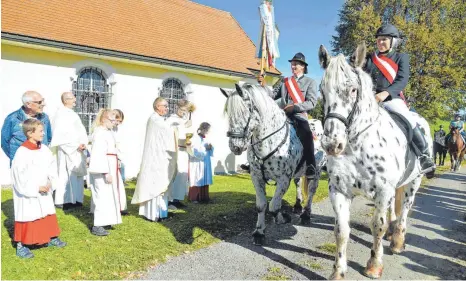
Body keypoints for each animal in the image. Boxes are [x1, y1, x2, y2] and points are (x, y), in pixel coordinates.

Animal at [220, 83, 322, 245]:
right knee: (299, 184)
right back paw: (297, 206)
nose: (235, 147)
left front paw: (282, 218)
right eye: (228, 114)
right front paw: (259, 232)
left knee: (312, 190)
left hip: (317, 171)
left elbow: (274, 206)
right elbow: (261, 205)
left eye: (245, 112)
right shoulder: (256, 177)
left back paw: (306, 215)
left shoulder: (283, 179)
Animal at [318, 43, 436, 278]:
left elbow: (377, 226)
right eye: (322, 90)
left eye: (353, 90)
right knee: (394, 210)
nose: (332, 144)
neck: (356, 145)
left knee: (404, 210)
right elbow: (341, 231)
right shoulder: (339, 190)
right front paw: (338, 271)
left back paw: (398, 241)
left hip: (413, 182)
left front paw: (374, 265)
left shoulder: (383, 190)